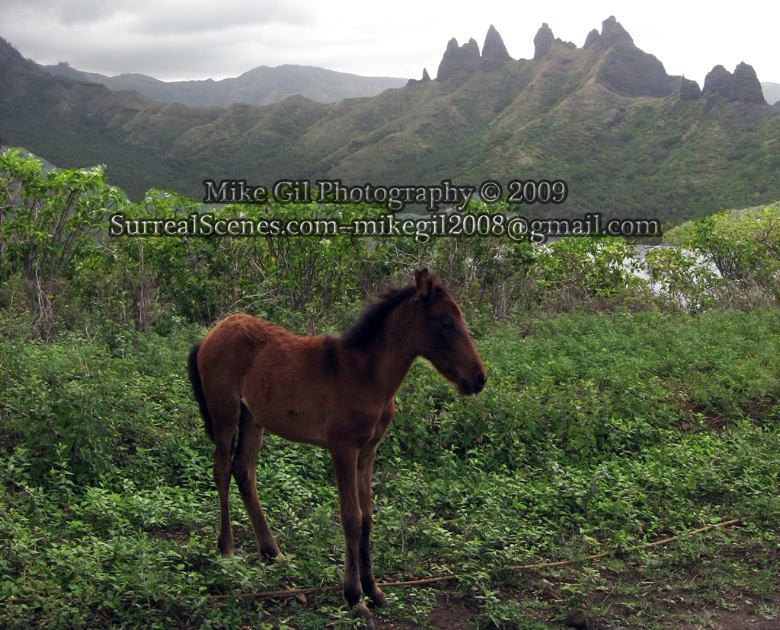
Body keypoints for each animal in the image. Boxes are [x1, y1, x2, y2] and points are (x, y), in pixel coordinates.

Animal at [187, 269, 486, 628]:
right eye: (446, 322)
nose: (479, 378)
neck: (366, 374)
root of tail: (210, 334)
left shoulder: (368, 452)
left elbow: (368, 517)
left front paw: (375, 591)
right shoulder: (343, 449)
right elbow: (351, 518)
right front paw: (355, 598)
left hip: (252, 418)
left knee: (243, 471)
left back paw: (273, 553)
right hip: (225, 413)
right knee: (221, 469)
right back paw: (227, 551)